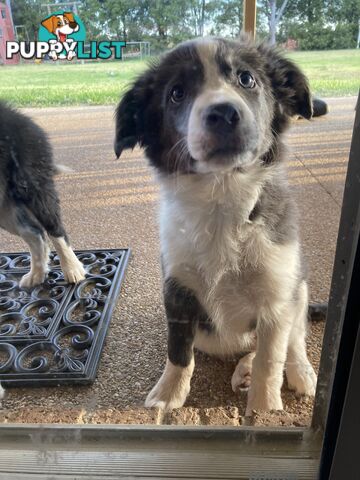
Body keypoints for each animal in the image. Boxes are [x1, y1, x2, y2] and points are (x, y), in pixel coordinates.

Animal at [114, 37, 316, 414]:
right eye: (176, 93)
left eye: (247, 79)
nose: (223, 113)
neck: (222, 199)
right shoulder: (177, 289)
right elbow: (179, 351)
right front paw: (169, 394)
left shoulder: (276, 296)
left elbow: (271, 358)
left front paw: (264, 407)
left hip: (299, 289)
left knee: (293, 340)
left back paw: (295, 372)